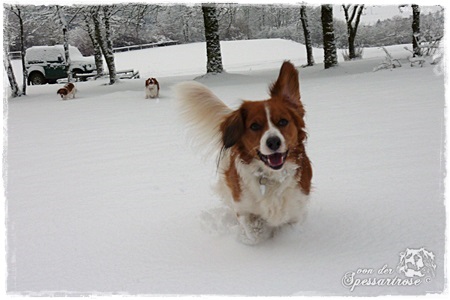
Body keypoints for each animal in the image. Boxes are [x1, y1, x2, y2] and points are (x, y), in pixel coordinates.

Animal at [176, 61, 312, 244]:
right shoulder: (242, 207)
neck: (271, 177)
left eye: (283, 122)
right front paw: (254, 234)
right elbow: (253, 232)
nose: (273, 142)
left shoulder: (295, 210)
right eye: (254, 126)